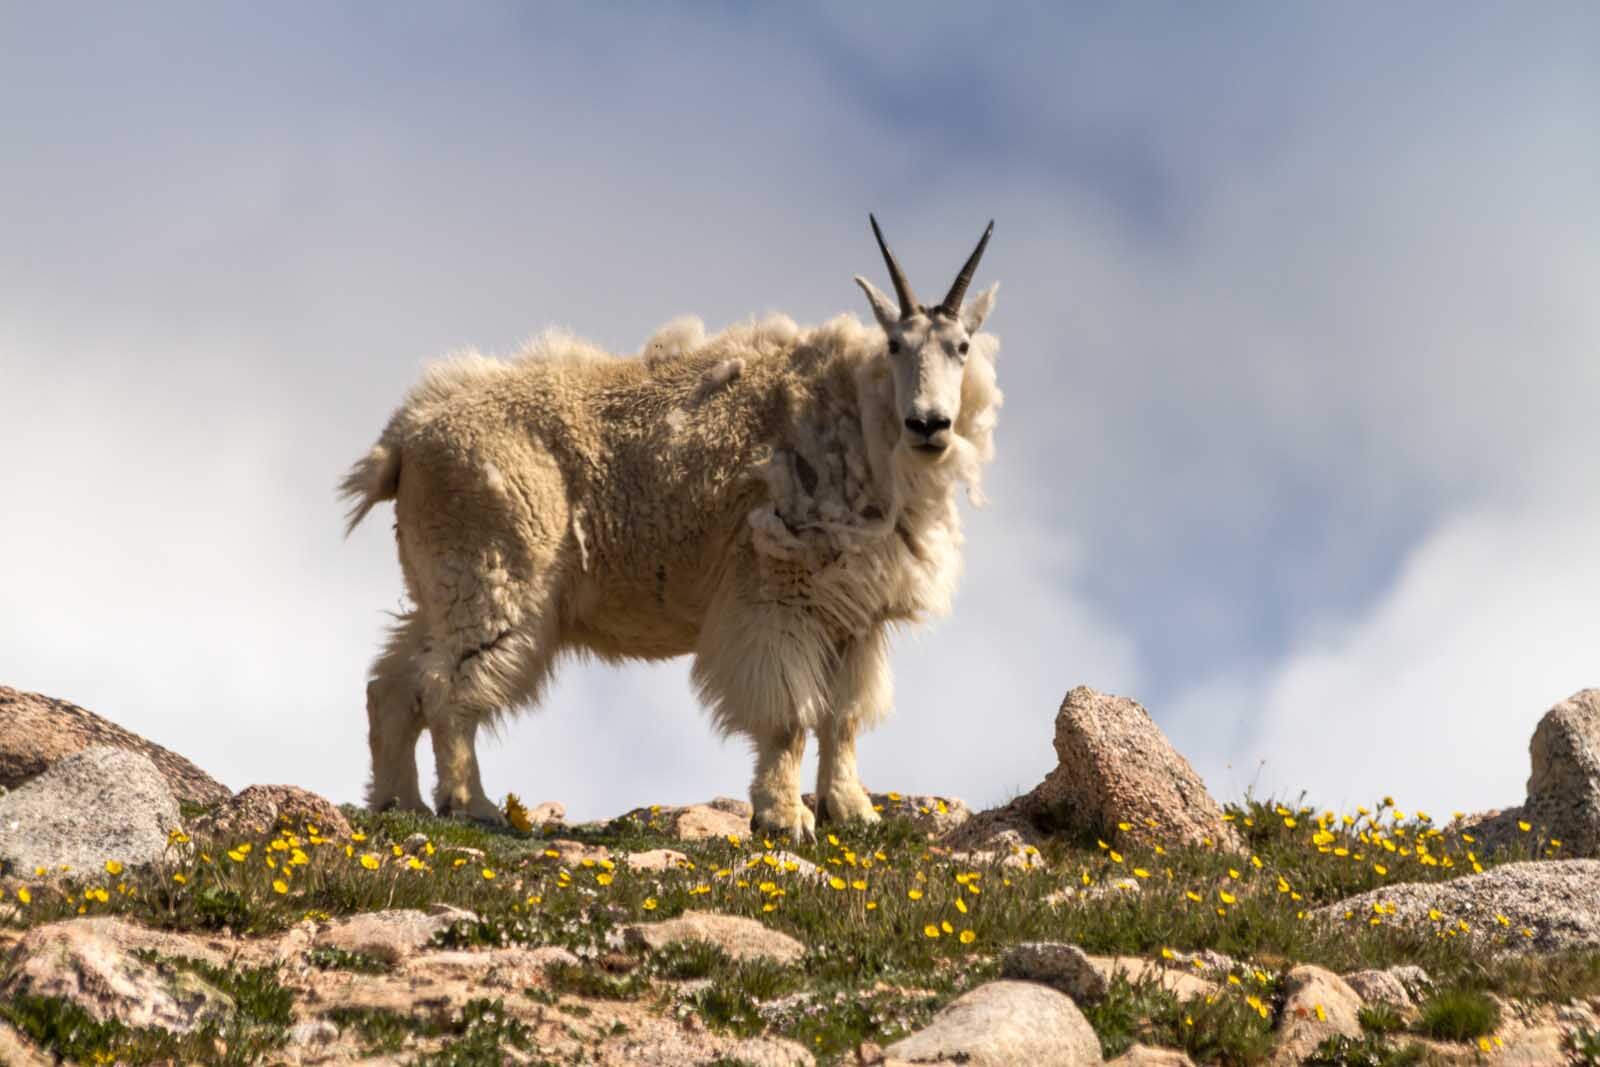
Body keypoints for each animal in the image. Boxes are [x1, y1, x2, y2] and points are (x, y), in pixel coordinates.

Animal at [340, 214, 998, 831]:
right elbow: (789, 717)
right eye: (894, 346)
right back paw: (470, 805)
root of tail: (404, 441)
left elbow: (846, 717)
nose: (929, 424)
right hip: (495, 566)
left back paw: (400, 802)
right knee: (448, 686)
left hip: (442, 579)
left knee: (392, 686)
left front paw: (852, 810)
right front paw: (783, 819)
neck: (859, 419)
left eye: (963, 346)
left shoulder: (856, 617)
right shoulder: (777, 592)